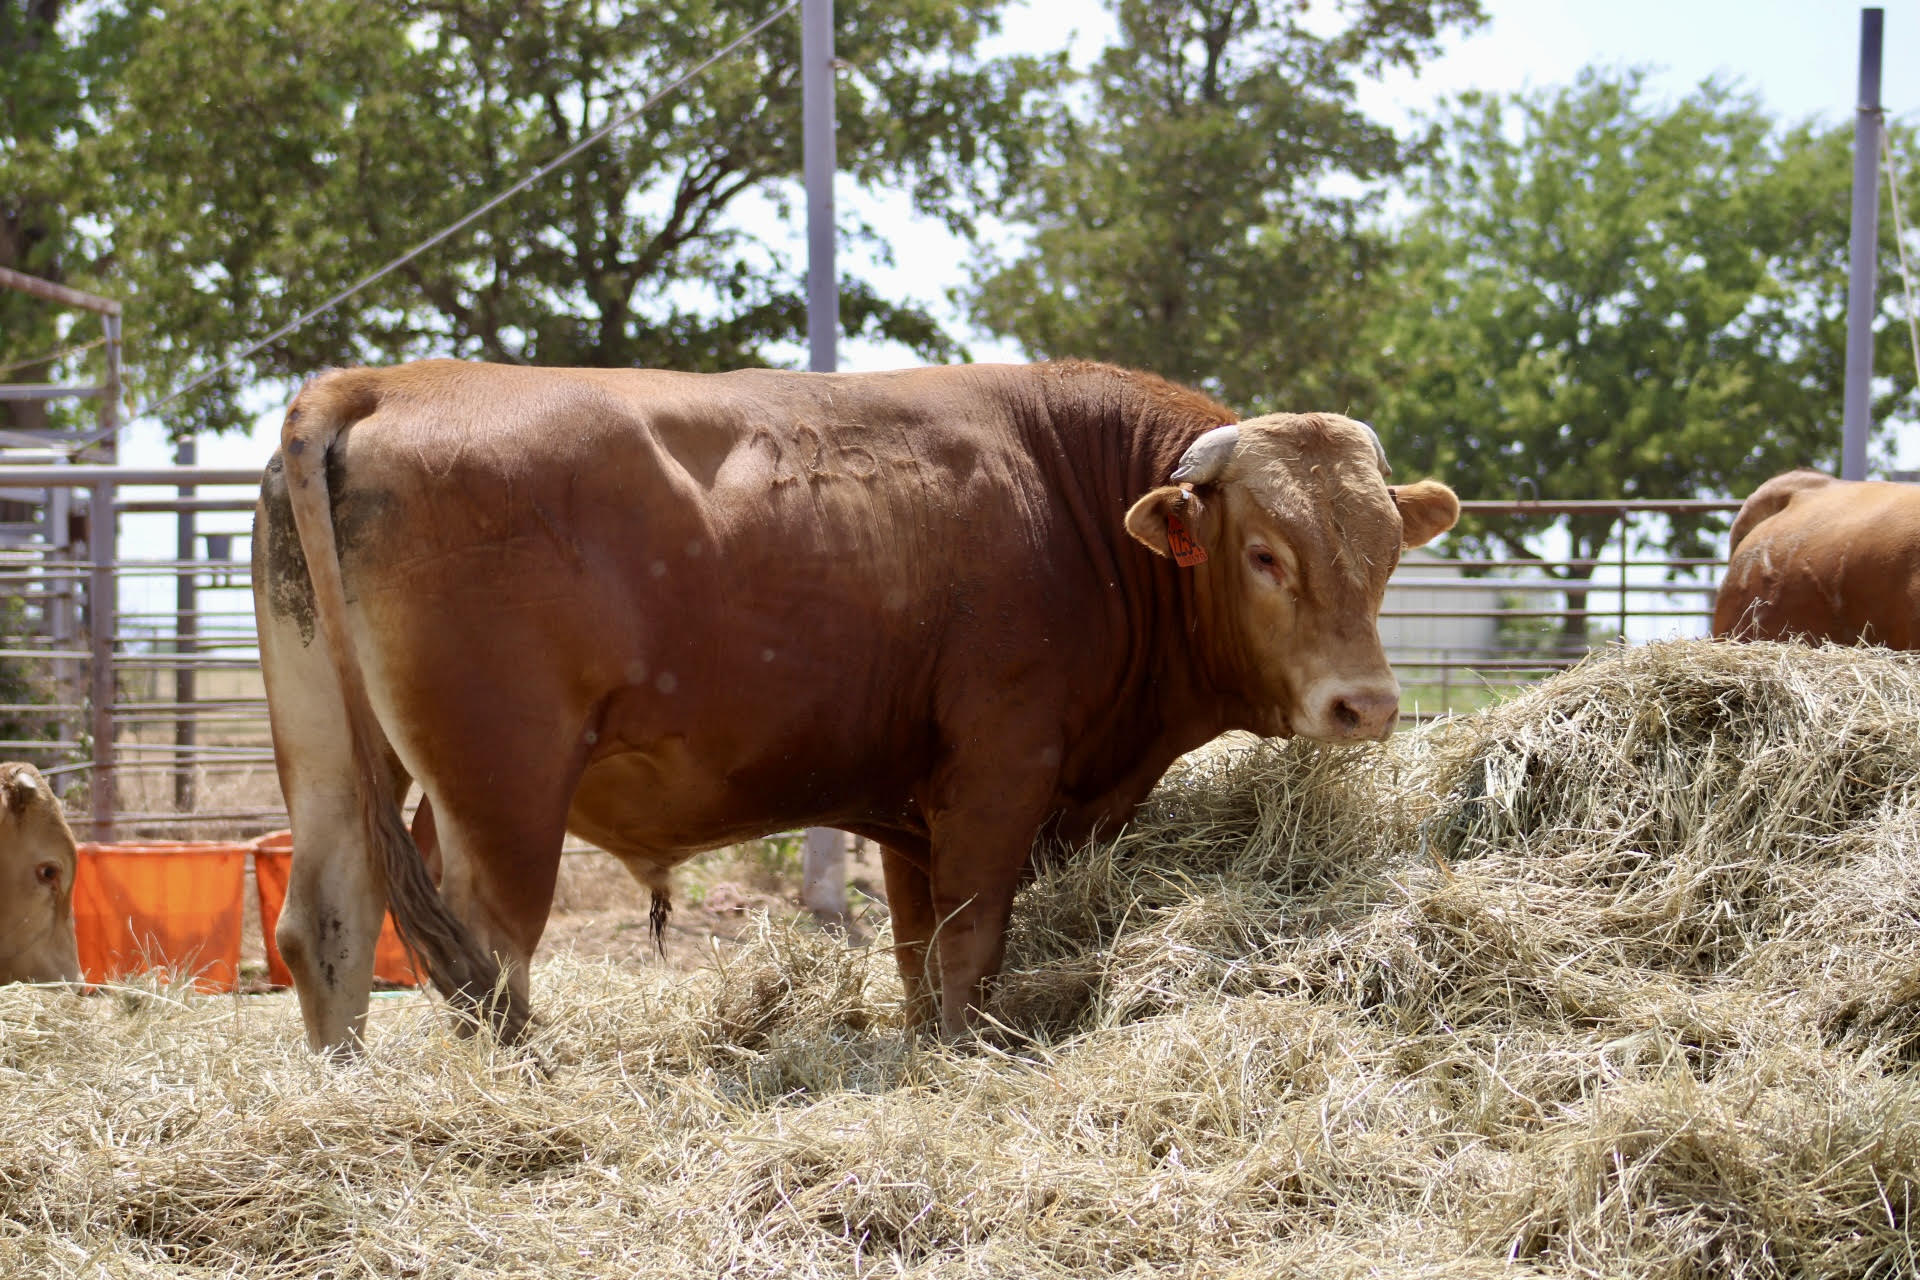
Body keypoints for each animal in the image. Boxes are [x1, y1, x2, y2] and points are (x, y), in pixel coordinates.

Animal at [251, 353, 1451, 1051]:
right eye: (1264, 553)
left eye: (1389, 550)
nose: (1366, 705)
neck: (1072, 506)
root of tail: (378, 382)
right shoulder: (1000, 772)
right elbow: (970, 942)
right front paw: (967, 1055)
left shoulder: (912, 809)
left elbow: (920, 951)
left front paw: (926, 1044)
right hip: (501, 783)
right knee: (480, 951)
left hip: (330, 753)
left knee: (329, 925)